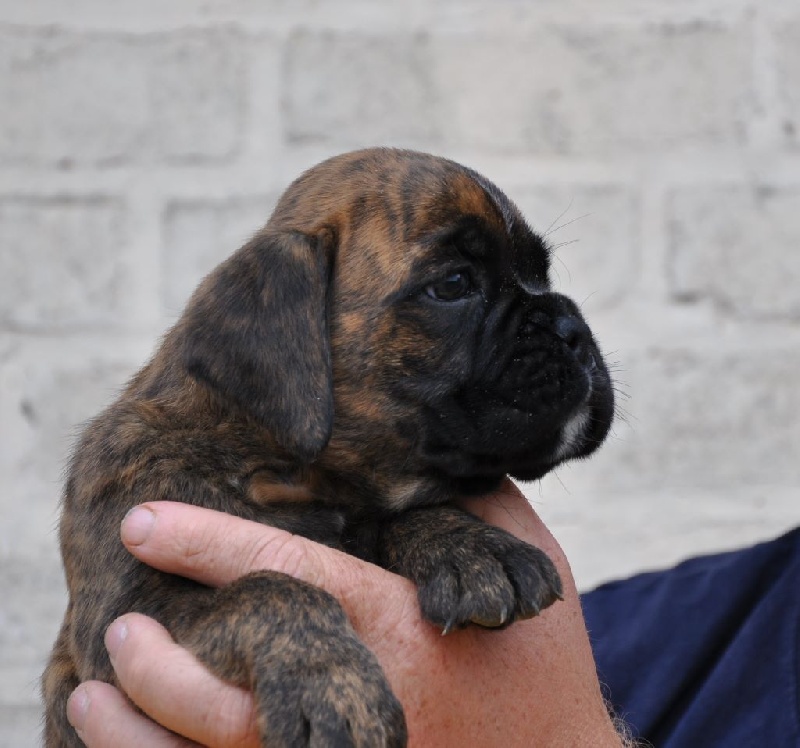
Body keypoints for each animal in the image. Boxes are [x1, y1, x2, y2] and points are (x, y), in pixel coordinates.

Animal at [43, 148, 614, 747]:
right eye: (454, 284)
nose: (571, 327)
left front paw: (471, 547)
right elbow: (267, 588)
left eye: (542, 273)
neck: (282, 470)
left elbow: (400, 515)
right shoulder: (122, 619)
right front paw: (328, 681)